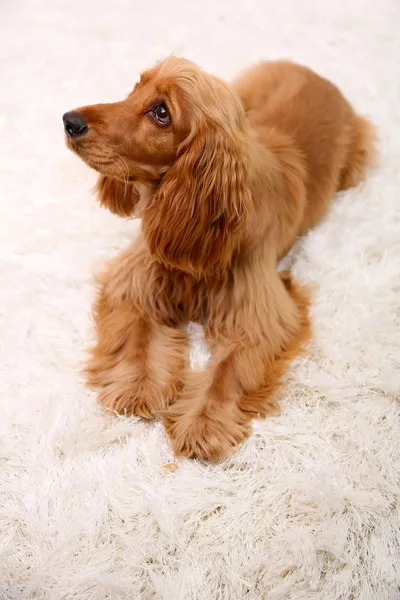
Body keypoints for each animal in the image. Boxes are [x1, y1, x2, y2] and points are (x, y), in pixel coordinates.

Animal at [63, 56, 376, 460]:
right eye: (137, 87)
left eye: (161, 112)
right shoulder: (136, 279)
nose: (70, 120)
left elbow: (228, 373)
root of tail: (314, 73)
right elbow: (138, 338)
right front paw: (137, 386)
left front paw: (203, 423)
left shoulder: (259, 316)